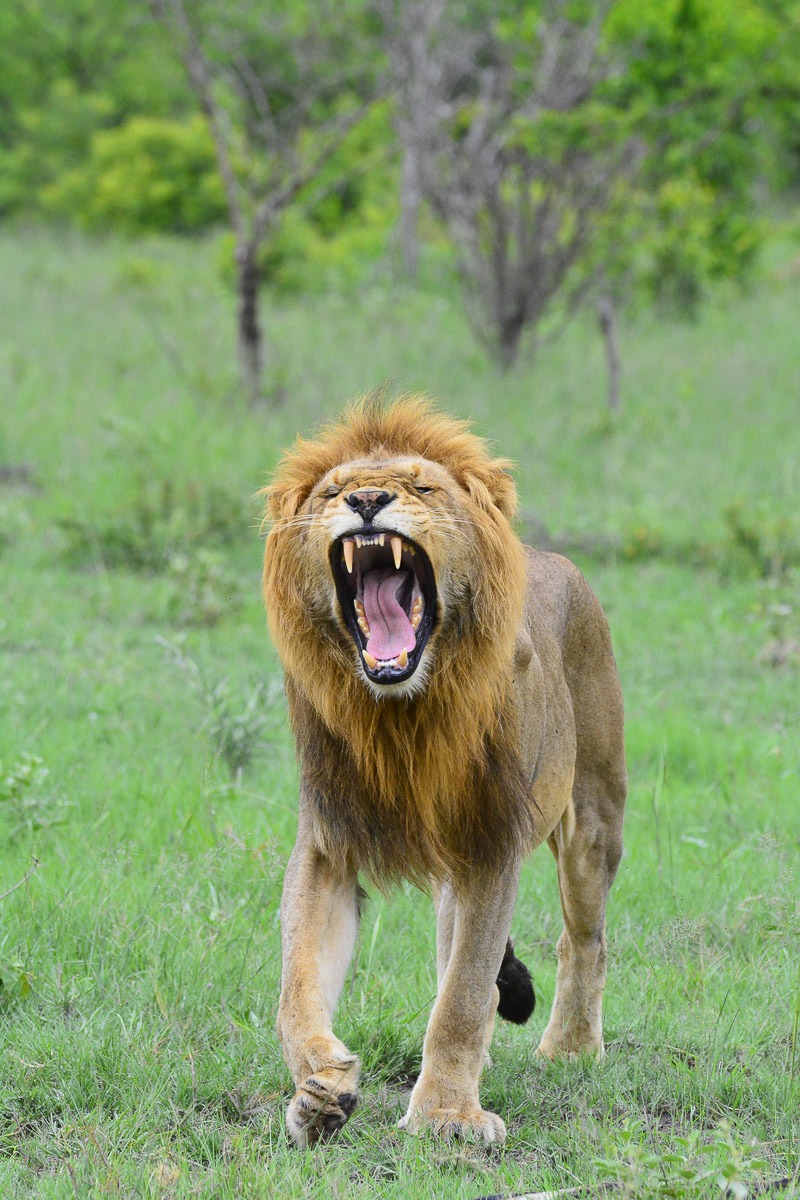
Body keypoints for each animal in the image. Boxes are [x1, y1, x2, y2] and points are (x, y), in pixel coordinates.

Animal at [262, 392, 626, 1146]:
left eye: (421, 487)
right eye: (333, 493)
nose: (368, 500)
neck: (402, 715)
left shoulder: (489, 843)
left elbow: (460, 998)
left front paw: (445, 1119)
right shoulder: (328, 844)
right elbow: (297, 987)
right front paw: (319, 1090)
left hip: (593, 823)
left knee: (585, 942)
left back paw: (571, 1049)